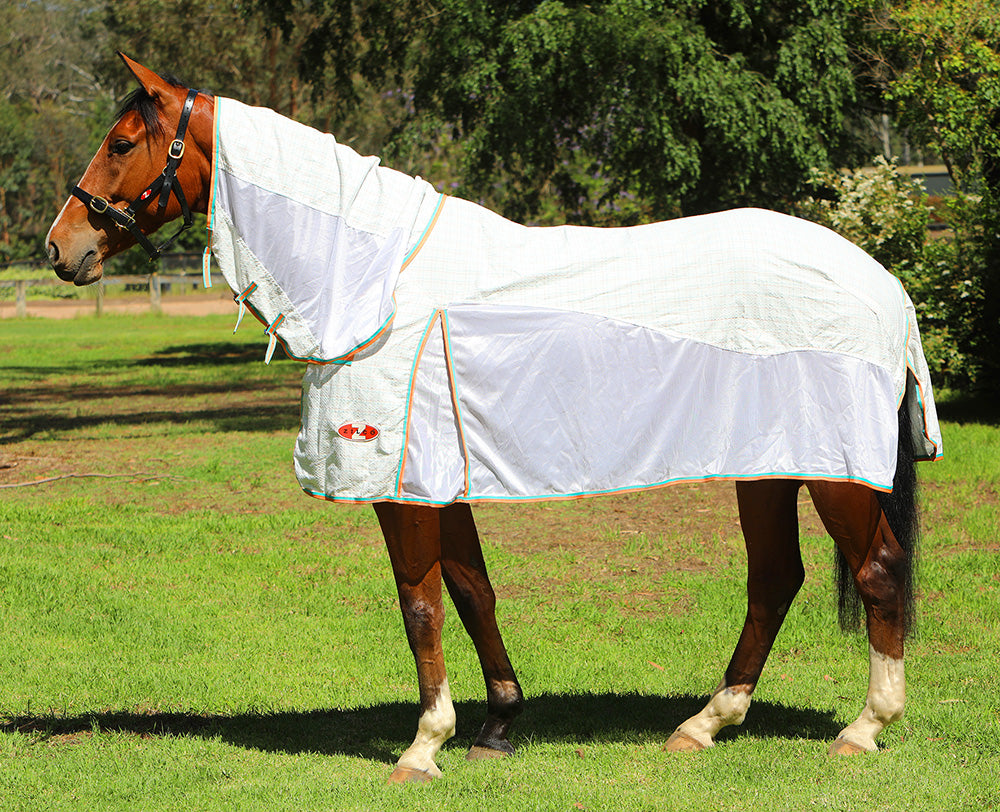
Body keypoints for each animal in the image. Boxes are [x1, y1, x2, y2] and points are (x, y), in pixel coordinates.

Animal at [46, 54, 942, 783]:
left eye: (122, 142)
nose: (62, 247)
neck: (376, 278)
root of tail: (884, 282)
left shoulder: (400, 483)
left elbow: (420, 603)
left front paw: (424, 746)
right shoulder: (444, 481)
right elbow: (473, 589)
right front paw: (499, 724)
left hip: (836, 473)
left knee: (876, 571)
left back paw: (864, 728)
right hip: (768, 463)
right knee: (775, 578)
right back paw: (704, 724)